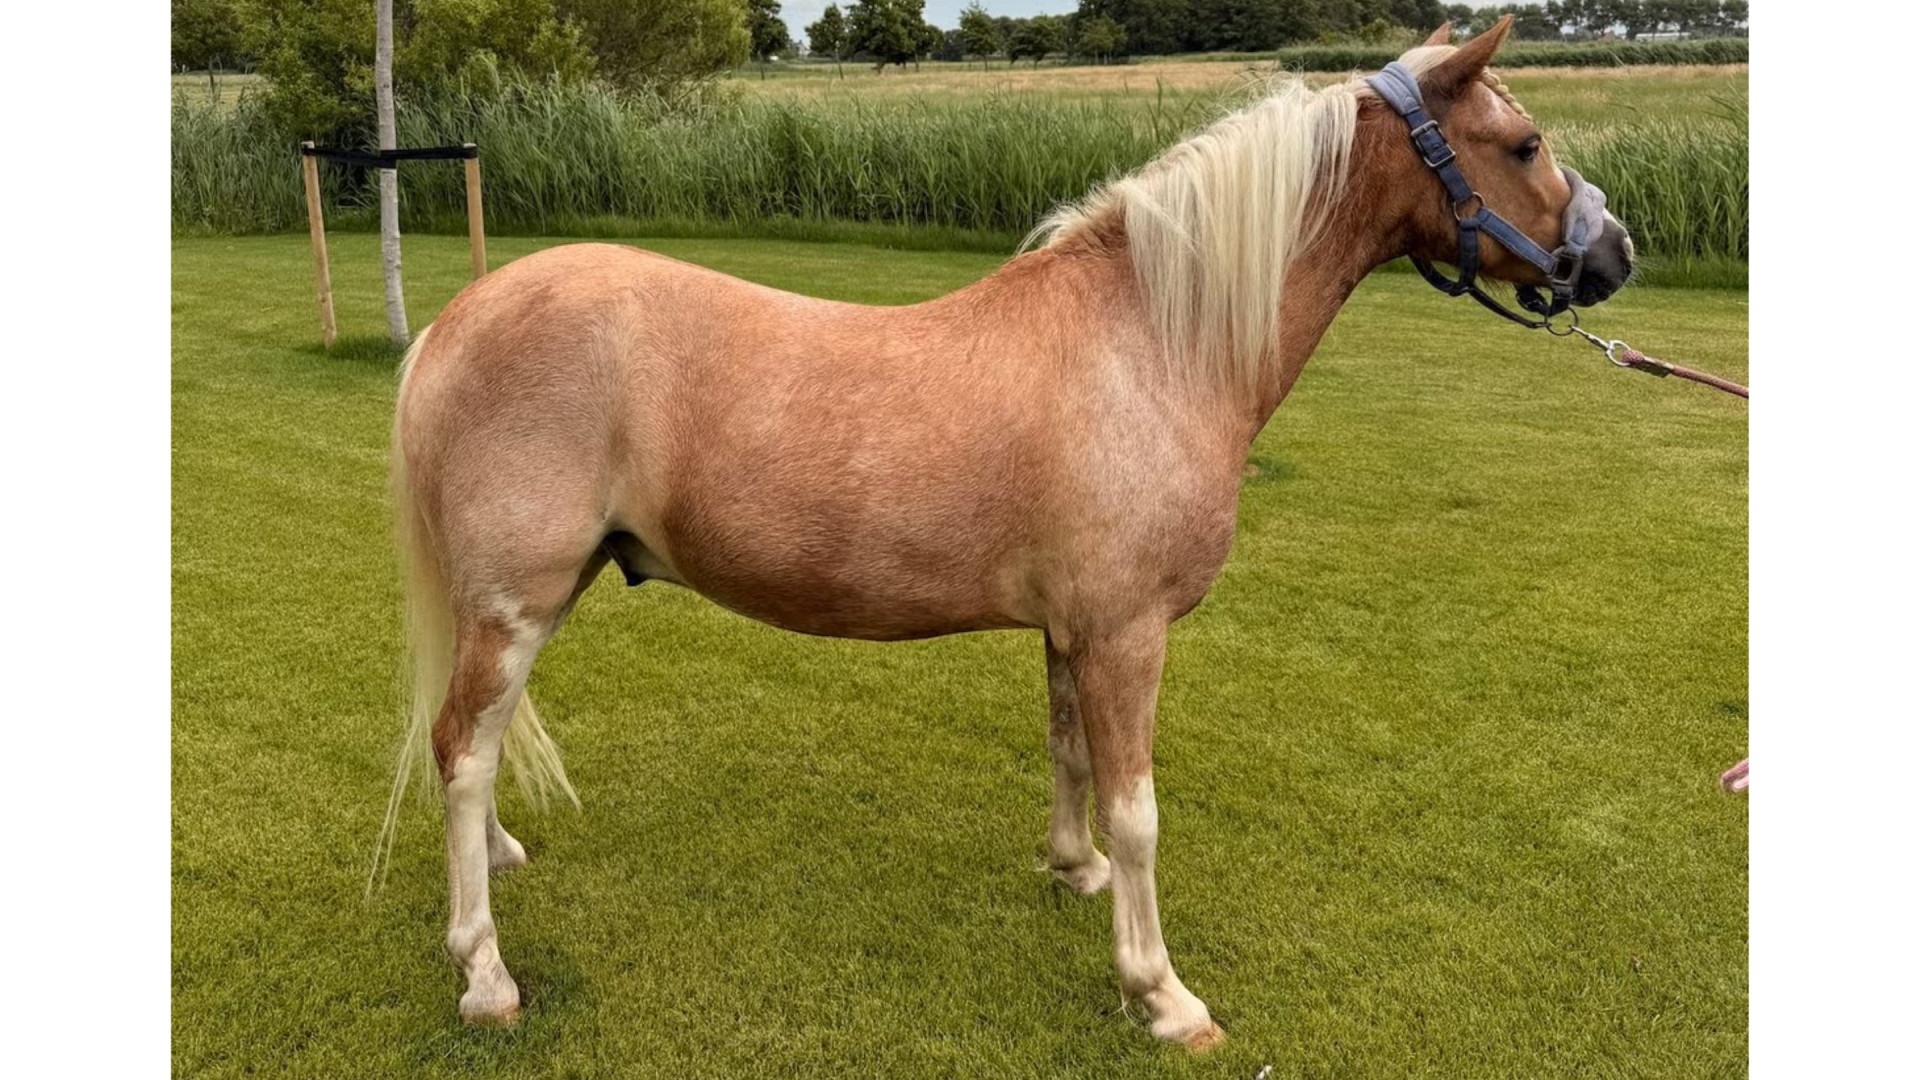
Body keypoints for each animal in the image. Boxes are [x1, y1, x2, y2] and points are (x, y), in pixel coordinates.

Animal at [380, 18, 1633, 1049]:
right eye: (1523, 144)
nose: (1614, 254)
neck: (1153, 339)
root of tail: (455, 321)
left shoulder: (1076, 630)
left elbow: (1070, 753)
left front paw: (1074, 873)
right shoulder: (1129, 632)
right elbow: (1139, 811)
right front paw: (1162, 994)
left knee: (475, 752)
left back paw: (497, 858)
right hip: (516, 605)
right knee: (461, 752)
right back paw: (485, 974)